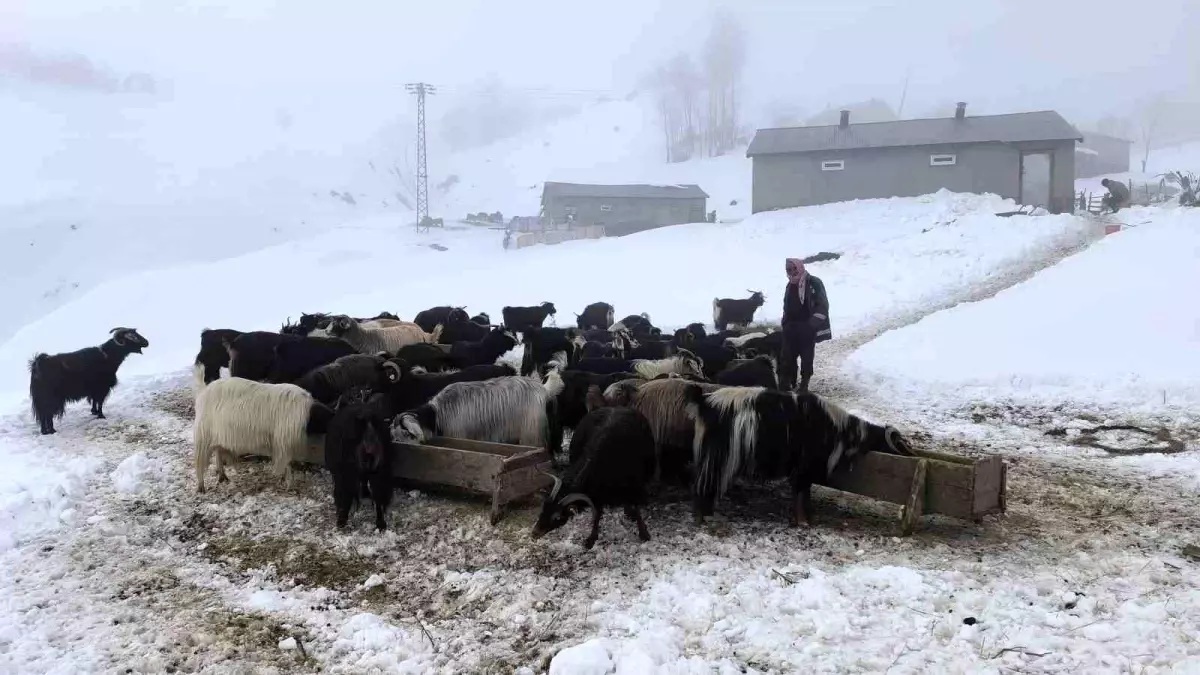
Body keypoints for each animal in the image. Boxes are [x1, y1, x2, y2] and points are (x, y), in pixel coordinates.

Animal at [194, 379, 333, 487]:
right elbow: (287, 463)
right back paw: (201, 487)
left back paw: (222, 476)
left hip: (218, 436)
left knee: (217, 452)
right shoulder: (284, 442)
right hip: (204, 435)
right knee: (200, 462)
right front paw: (288, 483)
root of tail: (203, 391)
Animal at [530, 384, 652, 547]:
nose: (534, 533)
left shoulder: (634, 483)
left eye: (557, 517)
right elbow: (597, 513)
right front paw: (591, 539)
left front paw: (644, 533)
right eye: (543, 508)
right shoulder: (596, 493)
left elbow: (636, 506)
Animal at [691, 384, 912, 526]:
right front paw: (804, 521)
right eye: (900, 443)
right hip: (717, 458)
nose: (912, 455)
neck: (839, 428)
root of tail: (704, 402)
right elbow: (801, 492)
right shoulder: (805, 467)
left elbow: (802, 493)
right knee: (705, 486)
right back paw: (705, 518)